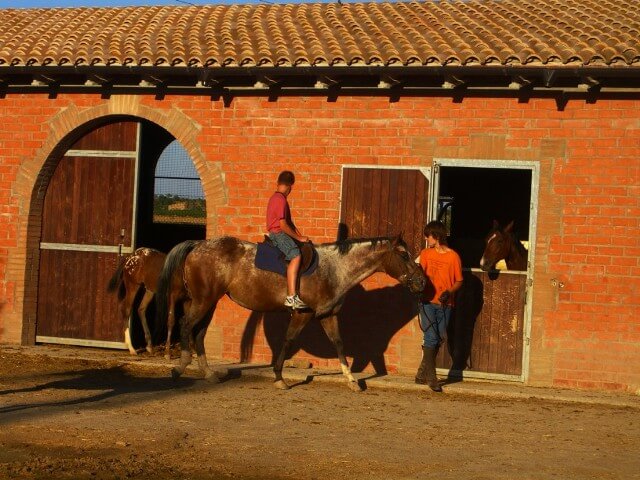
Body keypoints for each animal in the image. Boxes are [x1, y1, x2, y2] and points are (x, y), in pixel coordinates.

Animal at [155, 235, 426, 391]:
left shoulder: (328, 315)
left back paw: (209, 373)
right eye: (404, 254)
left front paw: (351, 380)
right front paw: (279, 377)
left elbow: (339, 343)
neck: (334, 269)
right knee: (185, 325)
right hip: (204, 301)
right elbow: (288, 340)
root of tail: (198, 245)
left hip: (209, 302)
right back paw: (180, 367)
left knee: (198, 333)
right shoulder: (302, 314)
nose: (421, 282)